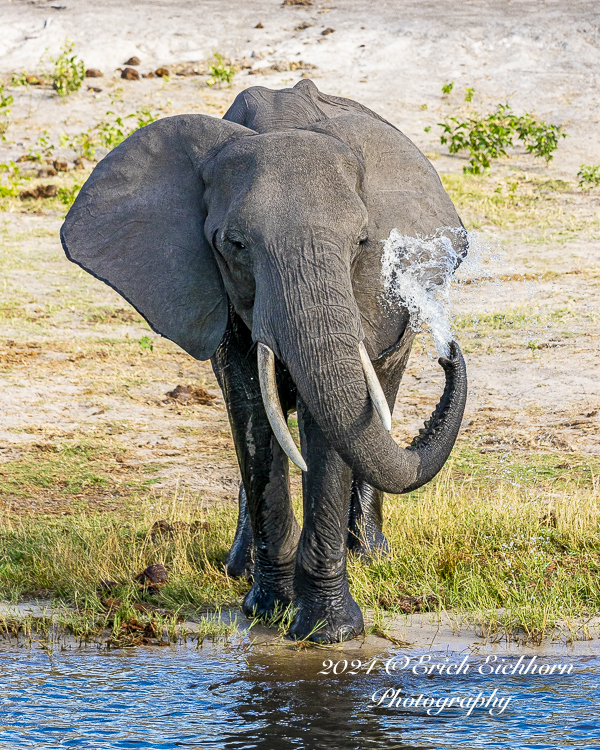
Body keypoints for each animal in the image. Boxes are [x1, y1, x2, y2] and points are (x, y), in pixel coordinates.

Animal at [63, 78, 472, 648]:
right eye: (235, 245)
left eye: (362, 242)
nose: (449, 354)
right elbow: (253, 412)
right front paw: (267, 613)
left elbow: (331, 425)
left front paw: (328, 633)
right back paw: (239, 568)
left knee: (382, 396)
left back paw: (370, 554)